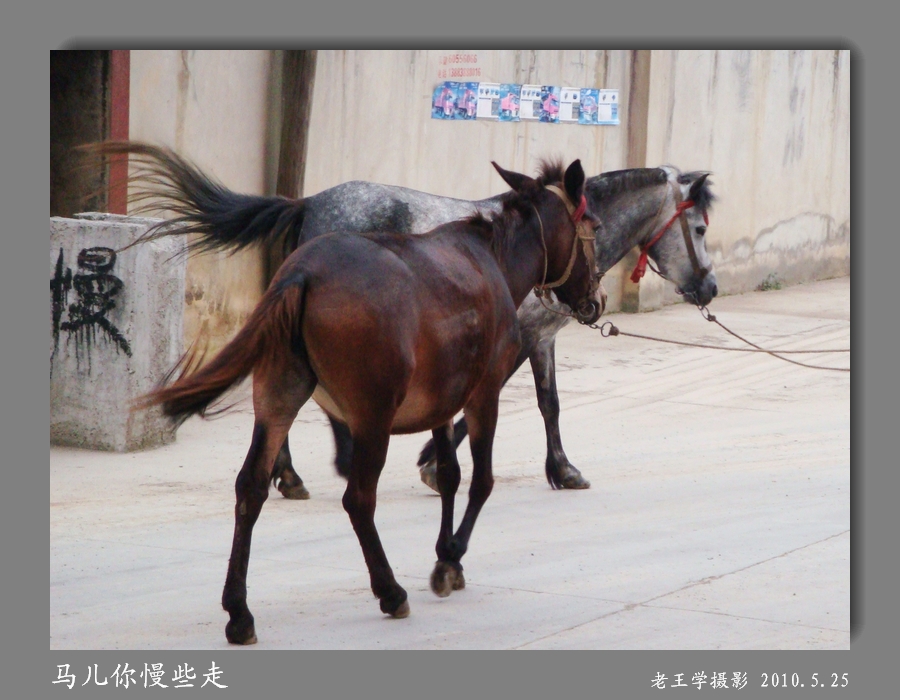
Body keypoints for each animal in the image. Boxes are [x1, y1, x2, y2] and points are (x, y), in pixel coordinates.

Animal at [83, 143, 717, 497]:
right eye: (701, 227)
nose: (709, 287)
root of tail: (308, 203)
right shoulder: (513, 339)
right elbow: (508, 402)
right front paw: (438, 466)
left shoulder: (536, 339)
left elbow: (545, 402)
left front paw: (555, 469)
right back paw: (311, 470)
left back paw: (289, 475)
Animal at [134, 158, 603, 644]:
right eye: (596, 225)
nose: (595, 300)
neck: (494, 259)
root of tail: (302, 274)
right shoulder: (483, 394)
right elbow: (480, 481)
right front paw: (451, 556)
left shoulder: (441, 401)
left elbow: (449, 476)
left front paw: (445, 551)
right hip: (372, 416)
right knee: (359, 499)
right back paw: (390, 591)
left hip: (277, 398)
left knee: (251, 488)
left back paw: (240, 611)